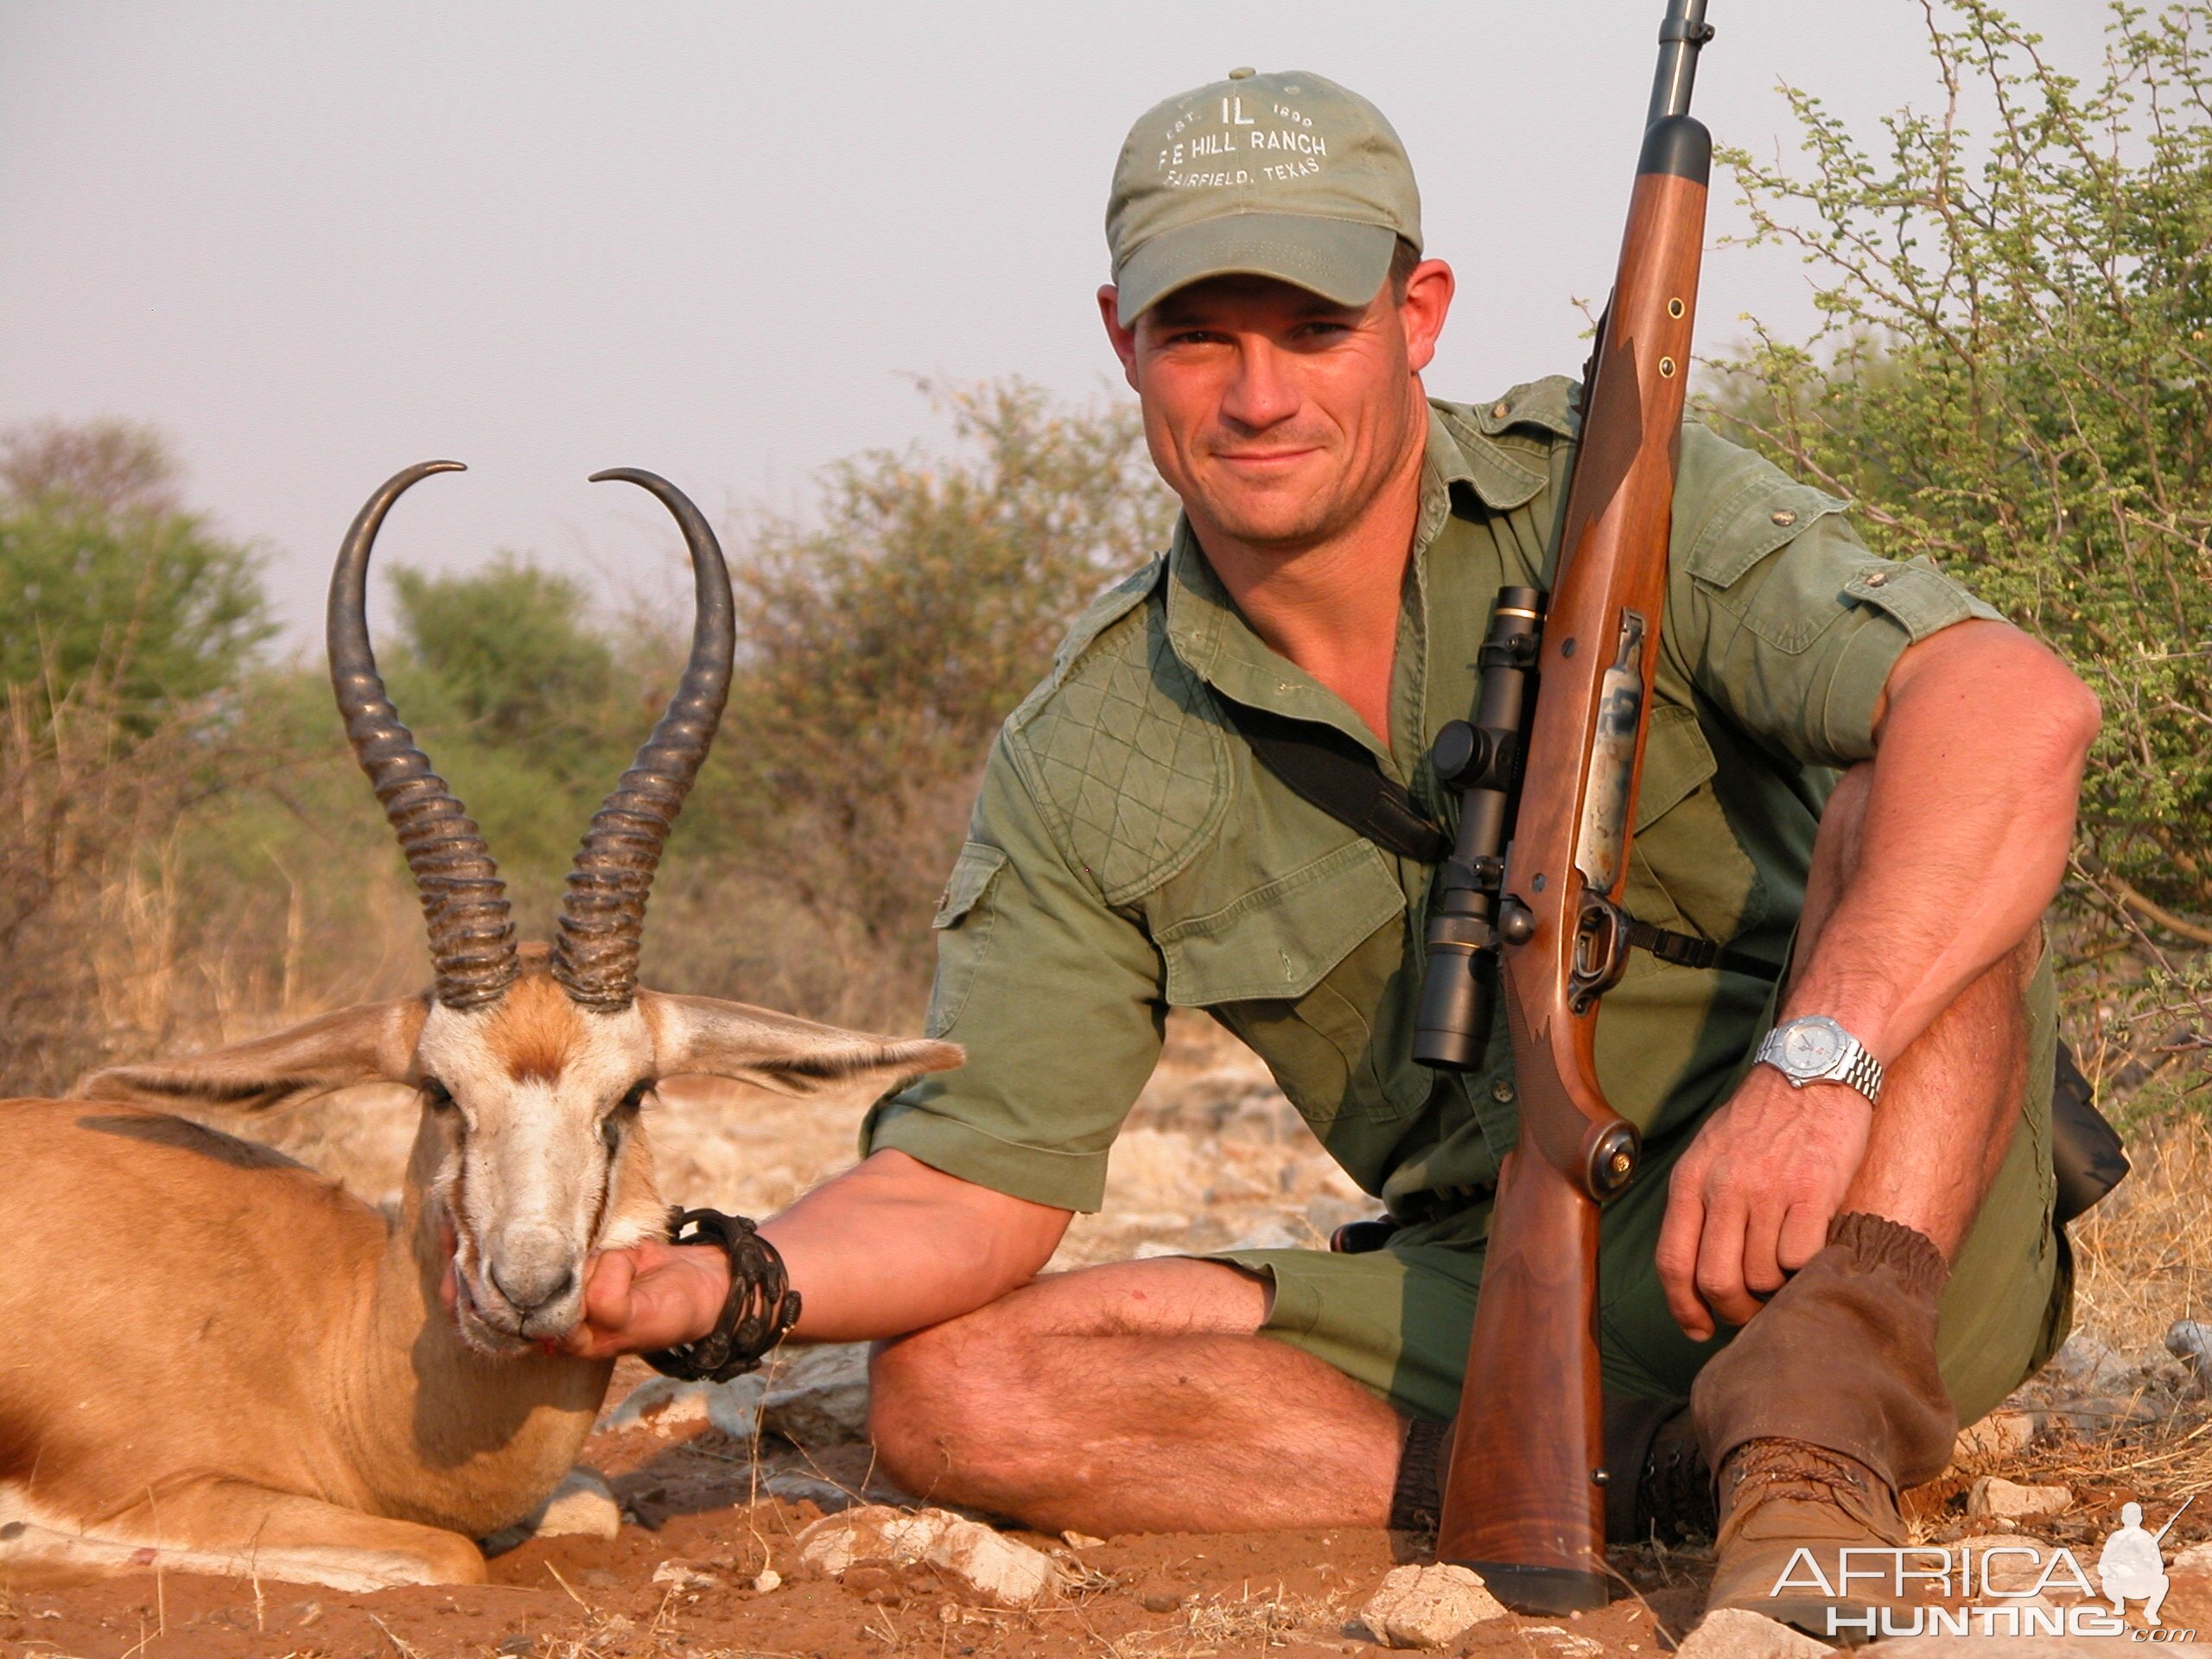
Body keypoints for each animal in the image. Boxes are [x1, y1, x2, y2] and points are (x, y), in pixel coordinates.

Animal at [0, 464, 950, 1601]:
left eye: (631, 1095)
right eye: (439, 1092)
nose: (527, 1289)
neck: (322, 1347)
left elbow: (587, 1503)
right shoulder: (167, 1486)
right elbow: (447, 1553)